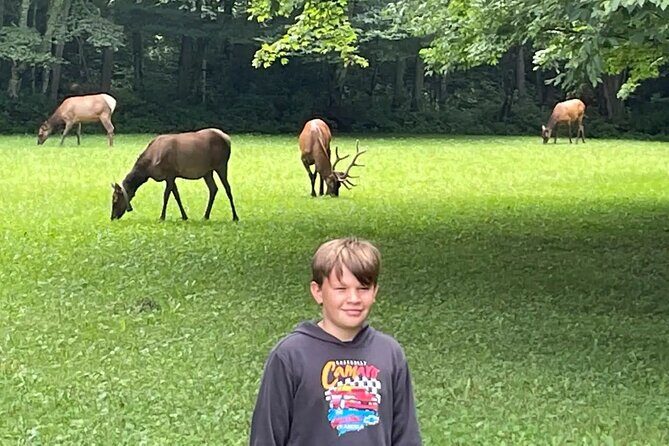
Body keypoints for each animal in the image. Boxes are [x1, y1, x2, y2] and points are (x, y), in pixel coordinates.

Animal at [110, 128, 239, 222]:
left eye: (115, 200)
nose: (112, 217)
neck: (148, 168)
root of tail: (228, 139)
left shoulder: (170, 174)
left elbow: (166, 195)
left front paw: (162, 217)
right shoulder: (172, 176)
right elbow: (176, 195)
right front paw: (184, 216)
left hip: (221, 165)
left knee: (227, 188)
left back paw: (235, 217)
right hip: (207, 171)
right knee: (213, 188)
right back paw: (206, 216)